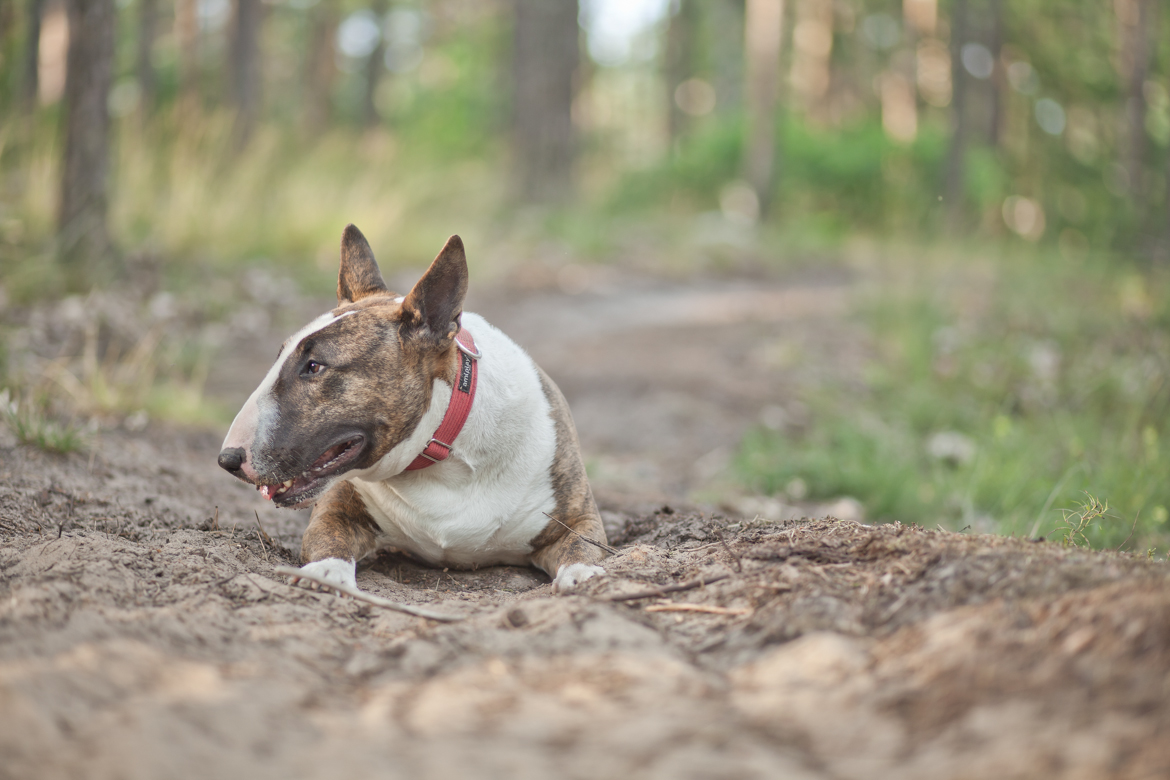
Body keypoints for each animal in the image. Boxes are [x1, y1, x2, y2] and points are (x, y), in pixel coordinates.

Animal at [214, 224, 608, 591]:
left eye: (314, 366)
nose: (228, 459)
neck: (444, 460)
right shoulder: (338, 509)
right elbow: (328, 537)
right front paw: (325, 572)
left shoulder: (577, 520)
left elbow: (582, 547)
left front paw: (584, 576)